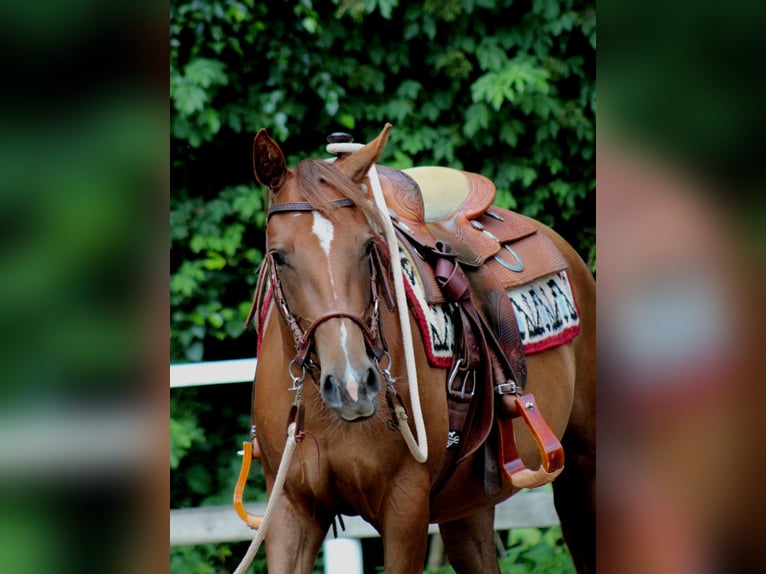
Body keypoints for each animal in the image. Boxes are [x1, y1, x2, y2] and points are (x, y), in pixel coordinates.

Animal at [246, 124, 596, 573]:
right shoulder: (290, 511)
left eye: (368, 245)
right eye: (279, 256)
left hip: (583, 470)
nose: (353, 386)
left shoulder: (405, 508)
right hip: (468, 506)